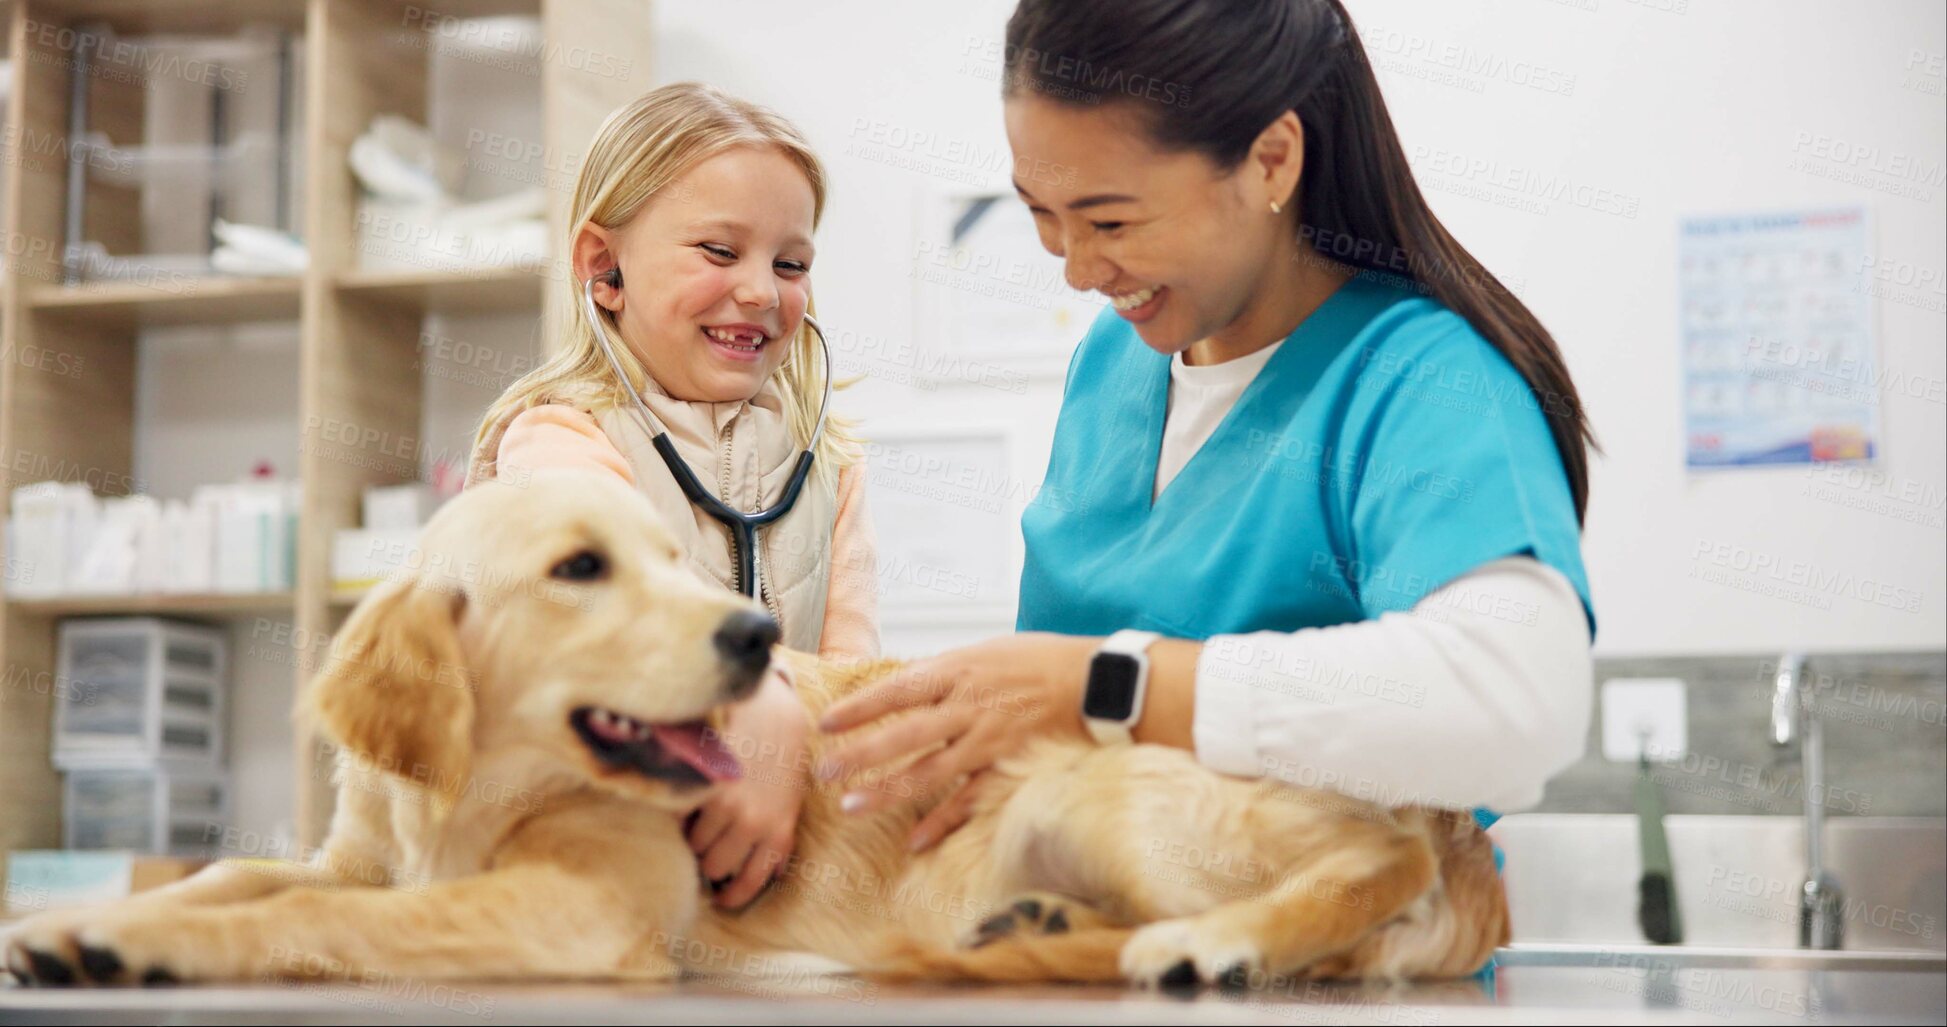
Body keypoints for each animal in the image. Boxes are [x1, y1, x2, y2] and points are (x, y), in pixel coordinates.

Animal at [3, 469, 1503, 993]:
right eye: (580, 568)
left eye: (673, 558)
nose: (754, 639)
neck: (475, 795)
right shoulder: (361, 848)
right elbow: (243, 872)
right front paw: (80, 916)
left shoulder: (582, 911)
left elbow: (316, 916)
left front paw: (142, 940)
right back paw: (1026, 930)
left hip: (1111, 786)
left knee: (1366, 867)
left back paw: (1216, 943)